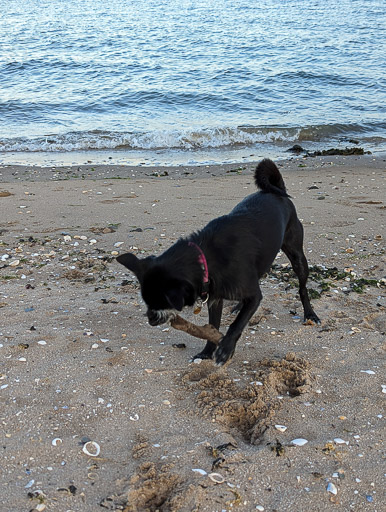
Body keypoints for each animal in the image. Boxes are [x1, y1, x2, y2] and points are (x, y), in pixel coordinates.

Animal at [117, 160, 320, 364]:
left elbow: (236, 325)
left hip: (297, 255)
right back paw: (238, 306)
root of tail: (276, 191)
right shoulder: (215, 299)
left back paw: (310, 314)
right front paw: (207, 351)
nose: (150, 320)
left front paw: (225, 348)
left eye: (161, 302)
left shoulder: (251, 296)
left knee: (302, 287)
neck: (205, 258)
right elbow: (213, 325)